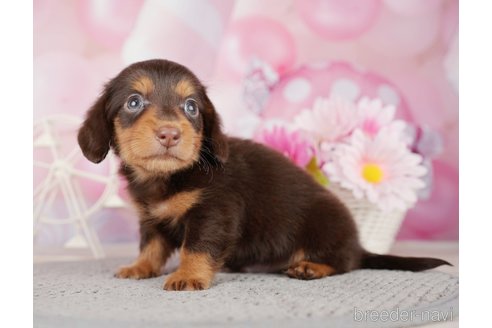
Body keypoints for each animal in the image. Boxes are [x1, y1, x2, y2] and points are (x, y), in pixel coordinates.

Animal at [77, 59, 450, 290]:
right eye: (134, 102)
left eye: (191, 107)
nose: (170, 134)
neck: (168, 177)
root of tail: (358, 243)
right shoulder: (151, 218)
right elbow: (151, 246)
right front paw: (140, 268)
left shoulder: (213, 213)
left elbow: (196, 247)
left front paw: (189, 276)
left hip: (324, 225)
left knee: (345, 262)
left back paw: (312, 266)